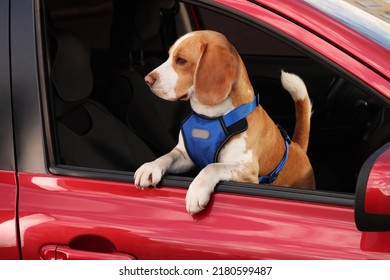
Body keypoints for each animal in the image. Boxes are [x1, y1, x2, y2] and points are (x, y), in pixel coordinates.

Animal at [136, 30, 316, 214]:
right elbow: (168, 156)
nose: (147, 79)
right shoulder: (185, 156)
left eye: (181, 60)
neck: (210, 117)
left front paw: (196, 191)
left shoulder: (247, 170)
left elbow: (212, 166)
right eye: (169, 56)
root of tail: (298, 147)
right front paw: (151, 166)